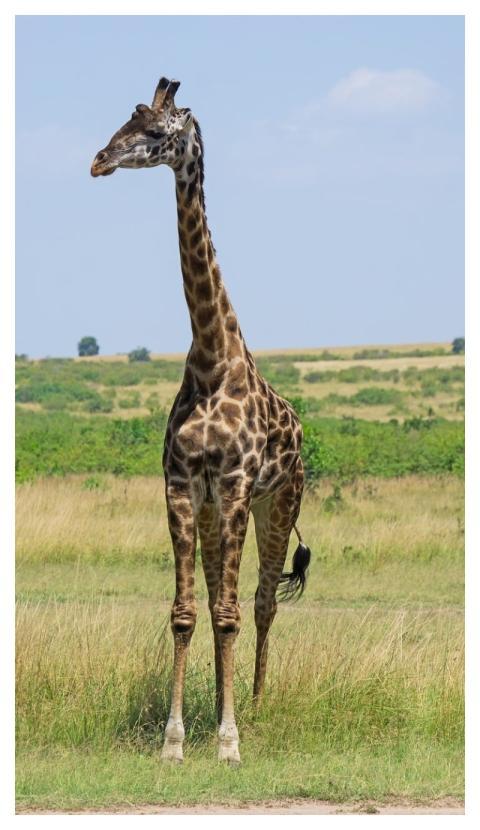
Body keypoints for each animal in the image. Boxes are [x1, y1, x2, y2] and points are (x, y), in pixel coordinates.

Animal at [91, 76, 311, 765]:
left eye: (157, 130)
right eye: (125, 118)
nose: (99, 160)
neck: (213, 358)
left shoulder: (237, 486)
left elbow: (232, 613)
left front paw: (230, 742)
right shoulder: (184, 486)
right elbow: (189, 612)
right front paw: (176, 739)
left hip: (279, 501)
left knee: (261, 602)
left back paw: (257, 704)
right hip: (217, 512)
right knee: (223, 597)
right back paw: (222, 701)